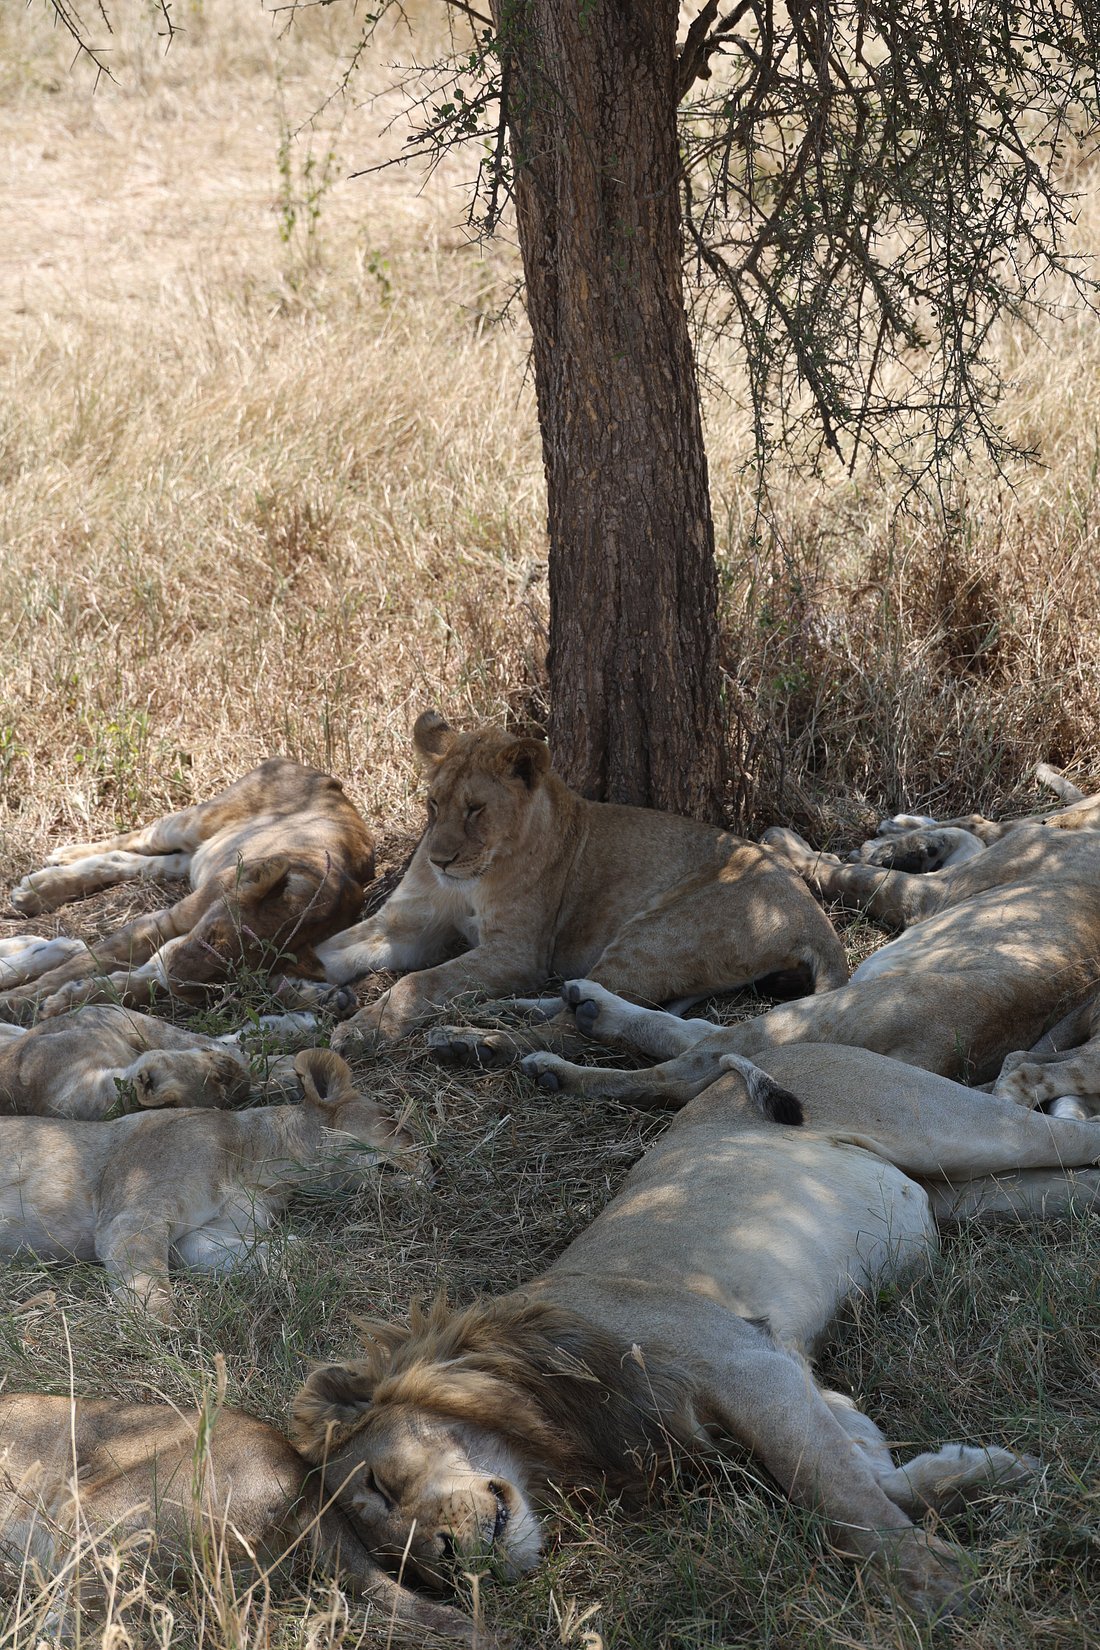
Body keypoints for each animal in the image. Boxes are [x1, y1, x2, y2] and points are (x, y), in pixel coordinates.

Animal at [0, 759, 375, 1020]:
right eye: (211, 936)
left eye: (229, 977)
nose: (174, 976)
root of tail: (329, 779)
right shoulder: (163, 923)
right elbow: (80, 965)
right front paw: (15, 1001)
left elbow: (134, 984)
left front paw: (63, 1001)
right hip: (193, 822)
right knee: (136, 837)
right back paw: (50, 870)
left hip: (196, 856)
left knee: (129, 861)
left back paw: (44, 884)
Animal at [0, 1048, 426, 1322]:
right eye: (394, 1120)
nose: (434, 1160)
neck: (259, 1169)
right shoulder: (132, 1216)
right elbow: (150, 1288)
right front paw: (165, 1337)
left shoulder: (193, 1239)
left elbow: (288, 1250)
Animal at [289, 1044, 1100, 1617]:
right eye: (403, 1567)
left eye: (383, 1484)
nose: (454, 1566)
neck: (551, 1412)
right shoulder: (791, 1374)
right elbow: (867, 1471)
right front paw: (988, 1472)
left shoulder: (743, 1362)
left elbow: (836, 1495)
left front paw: (937, 1585)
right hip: (980, 1196)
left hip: (957, 1130)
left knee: (1057, 1112)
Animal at [319, 711, 846, 1052]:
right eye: (433, 804)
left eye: (475, 809)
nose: (438, 860)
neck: (471, 879)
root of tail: (813, 917)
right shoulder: (404, 925)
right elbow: (325, 951)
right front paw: (310, 987)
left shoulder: (518, 953)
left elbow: (420, 981)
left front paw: (360, 1029)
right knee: (573, 1005)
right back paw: (504, 1011)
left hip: (653, 936)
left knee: (573, 1031)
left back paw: (471, 1042)